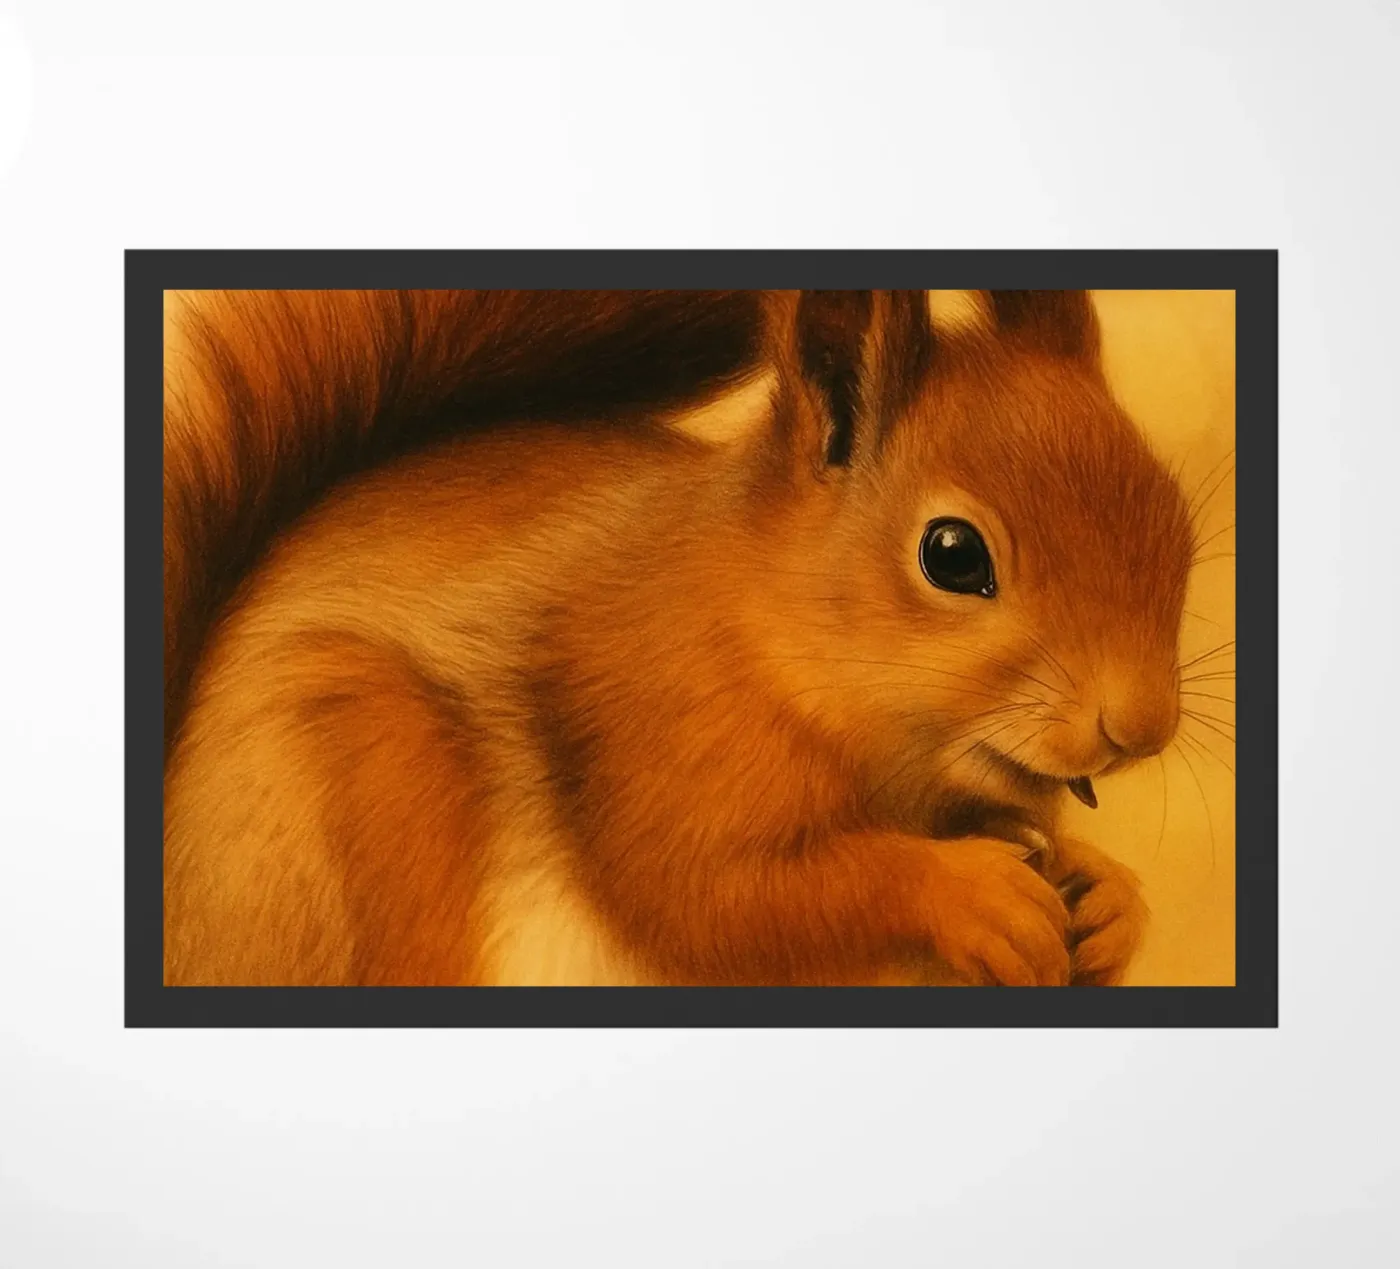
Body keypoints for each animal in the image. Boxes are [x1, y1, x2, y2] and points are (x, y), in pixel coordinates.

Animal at [163, 287, 1188, 988]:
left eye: (1174, 514)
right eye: (952, 553)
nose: (1141, 727)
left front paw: (1112, 900)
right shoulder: (650, 722)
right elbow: (711, 896)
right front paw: (967, 894)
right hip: (359, 780)